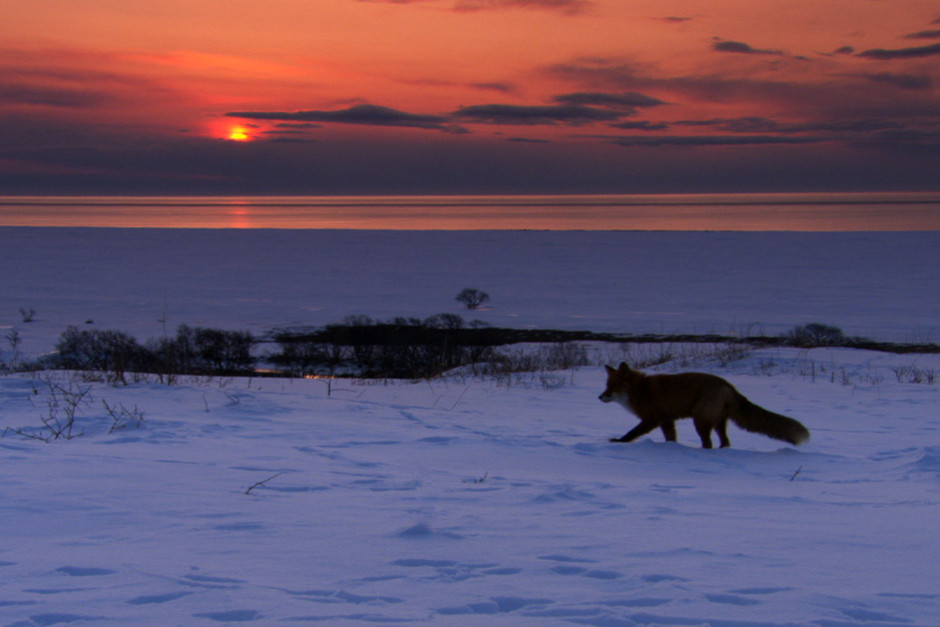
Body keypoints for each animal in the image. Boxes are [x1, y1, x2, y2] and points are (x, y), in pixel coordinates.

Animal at [599, 362, 810, 448]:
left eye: (614, 386)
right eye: (607, 385)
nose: (600, 397)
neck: (640, 390)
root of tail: (728, 386)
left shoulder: (652, 419)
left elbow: (631, 433)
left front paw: (619, 441)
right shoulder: (667, 421)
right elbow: (671, 439)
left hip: (700, 421)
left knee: (708, 444)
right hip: (718, 423)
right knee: (725, 442)